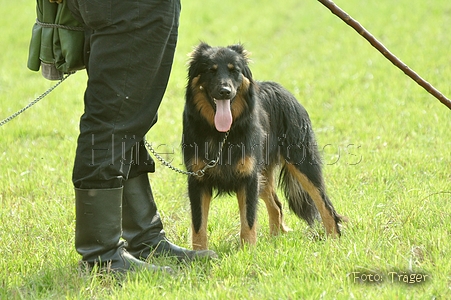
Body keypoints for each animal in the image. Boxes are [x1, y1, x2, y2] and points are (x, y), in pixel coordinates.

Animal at [182, 41, 340, 248]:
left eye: (235, 71)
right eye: (211, 70)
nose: (225, 91)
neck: (221, 133)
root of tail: (284, 90)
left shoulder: (249, 178)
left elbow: (248, 222)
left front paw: (247, 251)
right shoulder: (198, 180)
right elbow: (198, 225)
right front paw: (200, 253)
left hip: (301, 163)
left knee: (325, 204)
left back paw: (334, 240)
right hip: (263, 174)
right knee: (277, 205)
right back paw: (275, 240)